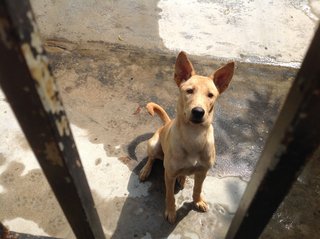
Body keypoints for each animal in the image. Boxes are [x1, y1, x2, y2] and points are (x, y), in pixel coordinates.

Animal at [139, 51, 234, 223]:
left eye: (211, 95)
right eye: (189, 91)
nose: (198, 112)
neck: (193, 136)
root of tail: (167, 123)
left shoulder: (202, 172)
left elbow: (197, 189)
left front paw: (197, 201)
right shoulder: (169, 174)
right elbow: (170, 196)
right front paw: (171, 212)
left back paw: (182, 178)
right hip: (153, 144)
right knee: (151, 158)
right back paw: (145, 170)